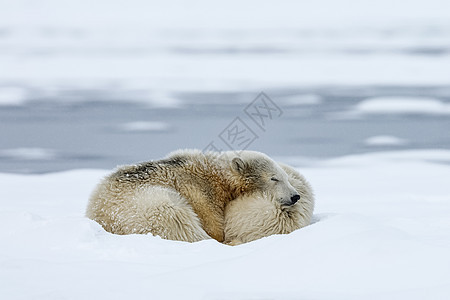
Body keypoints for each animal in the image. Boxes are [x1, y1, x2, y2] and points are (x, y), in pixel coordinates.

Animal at [85, 149, 300, 243]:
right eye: (274, 178)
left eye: (285, 176)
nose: (295, 196)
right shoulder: (199, 192)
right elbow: (212, 224)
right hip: (148, 206)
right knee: (178, 221)